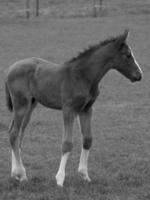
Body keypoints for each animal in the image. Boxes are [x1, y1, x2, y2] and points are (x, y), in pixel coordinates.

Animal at [5, 29, 142, 186]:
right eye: (127, 55)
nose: (139, 75)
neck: (83, 76)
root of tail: (10, 68)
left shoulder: (86, 109)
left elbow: (88, 139)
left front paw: (84, 175)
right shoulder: (69, 109)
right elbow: (67, 143)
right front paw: (60, 179)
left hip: (30, 105)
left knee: (17, 134)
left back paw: (16, 174)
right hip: (21, 104)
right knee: (14, 134)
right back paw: (20, 173)